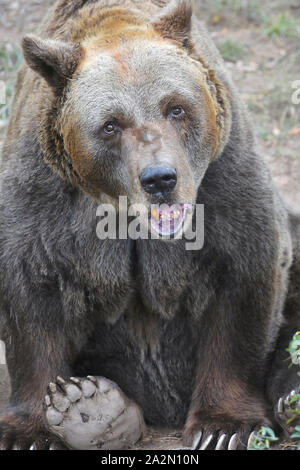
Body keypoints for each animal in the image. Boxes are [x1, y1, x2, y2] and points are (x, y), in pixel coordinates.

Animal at [0, 0, 298, 450]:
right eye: (110, 124)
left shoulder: (224, 182)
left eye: (176, 107)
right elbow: (30, 294)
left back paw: (291, 396)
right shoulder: (42, 199)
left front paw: (221, 427)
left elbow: (243, 283)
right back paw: (96, 407)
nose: (160, 179)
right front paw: (32, 430)